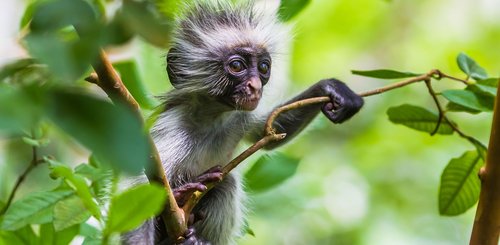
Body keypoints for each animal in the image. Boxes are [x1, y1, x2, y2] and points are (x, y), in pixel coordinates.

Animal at [122, 0, 362, 244]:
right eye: (237, 66)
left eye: (263, 68)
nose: (255, 86)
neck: (212, 119)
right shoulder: (173, 127)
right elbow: (136, 184)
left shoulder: (239, 116)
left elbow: (267, 133)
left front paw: (330, 89)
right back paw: (181, 198)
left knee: (226, 183)